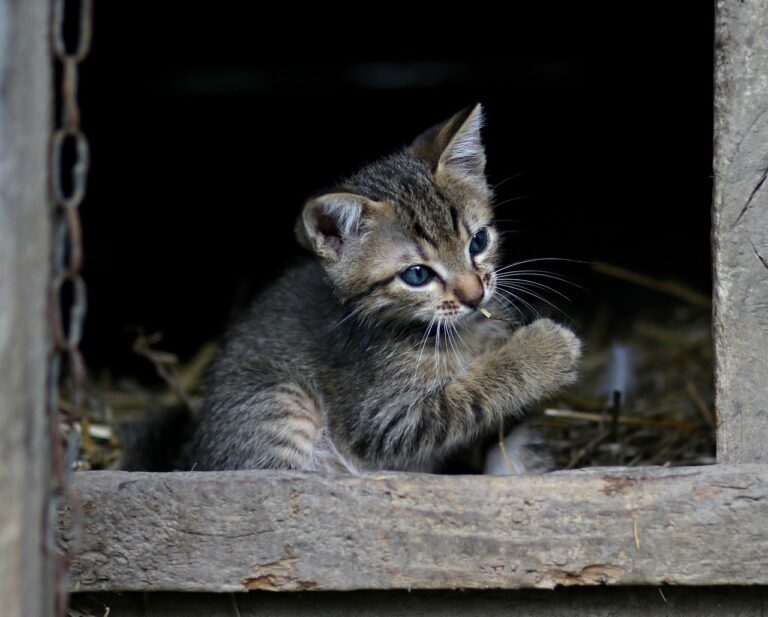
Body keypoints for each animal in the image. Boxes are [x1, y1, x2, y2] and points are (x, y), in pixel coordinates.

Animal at [189, 104, 580, 472]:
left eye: (478, 242)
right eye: (417, 276)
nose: (474, 296)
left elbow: (516, 444)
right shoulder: (383, 420)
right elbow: (463, 399)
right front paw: (543, 351)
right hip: (277, 398)